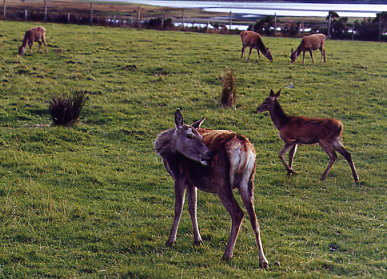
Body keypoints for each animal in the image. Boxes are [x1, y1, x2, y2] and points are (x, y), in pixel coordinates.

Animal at [153, 109, 268, 270]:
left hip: (222, 183)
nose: (208, 154)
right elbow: (192, 207)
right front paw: (197, 240)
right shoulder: (192, 181)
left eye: (199, 136)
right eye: (189, 135)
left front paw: (171, 240)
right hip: (248, 182)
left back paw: (227, 254)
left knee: (238, 213)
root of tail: (244, 149)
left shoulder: (180, 176)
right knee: (254, 218)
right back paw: (263, 260)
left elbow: (178, 208)